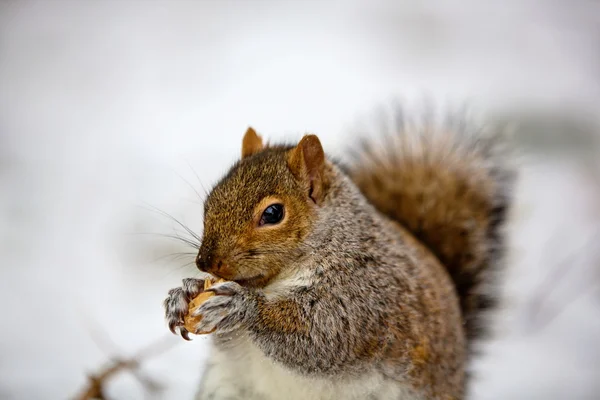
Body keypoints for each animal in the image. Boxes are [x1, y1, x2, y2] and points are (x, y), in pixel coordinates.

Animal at [162, 106, 512, 400]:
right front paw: (185, 293)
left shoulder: (366, 291)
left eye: (273, 213)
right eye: (211, 198)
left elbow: (324, 335)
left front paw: (239, 305)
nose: (205, 262)